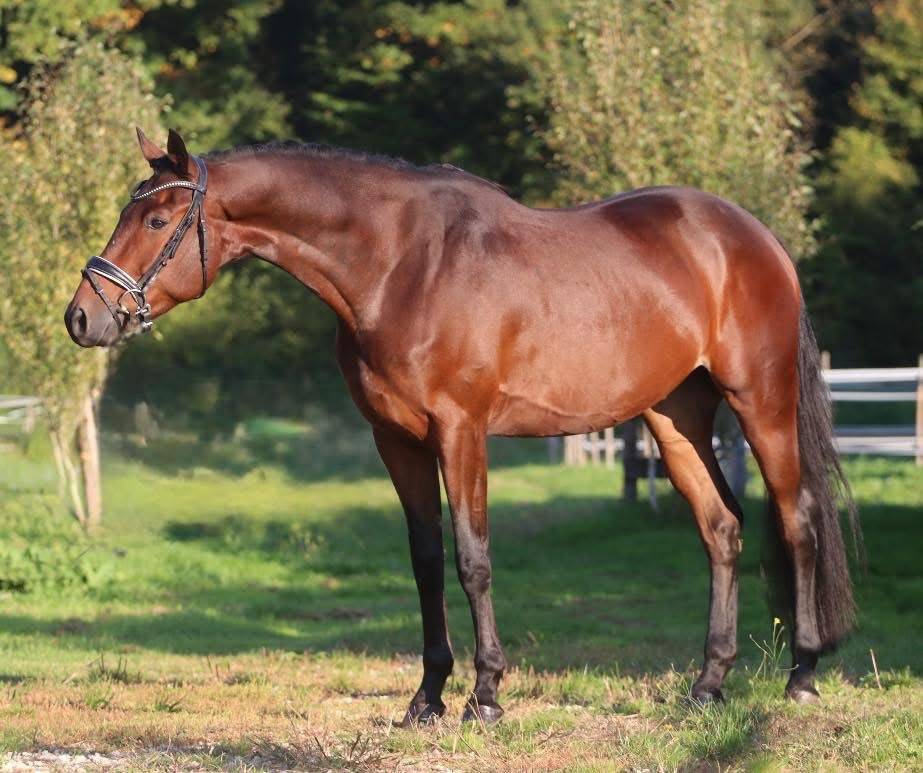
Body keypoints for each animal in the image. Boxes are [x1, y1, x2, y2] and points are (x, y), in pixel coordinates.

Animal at [65, 129, 860, 725]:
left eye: (157, 220)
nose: (83, 318)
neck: (398, 265)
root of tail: (753, 237)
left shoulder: (460, 432)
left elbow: (472, 558)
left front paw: (486, 695)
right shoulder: (396, 441)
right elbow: (425, 560)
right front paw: (426, 697)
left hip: (759, 401)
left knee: (797, 519)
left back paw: (802, 675)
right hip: (676, 415)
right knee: (721, 529)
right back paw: (707, 685)